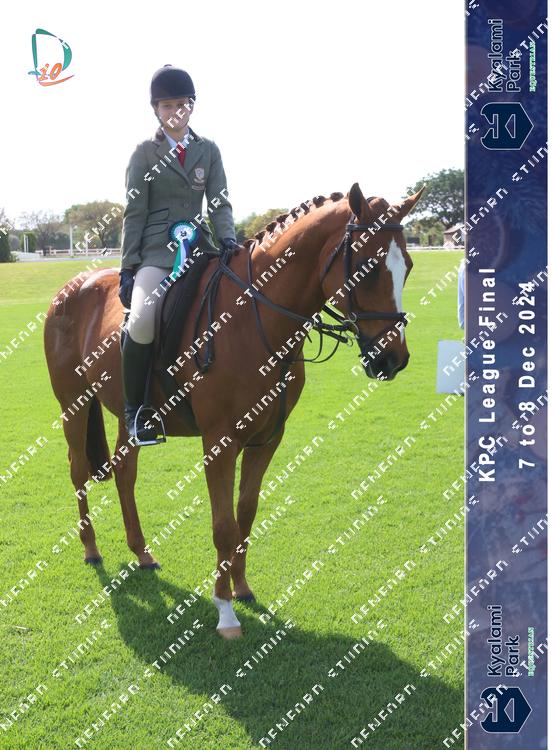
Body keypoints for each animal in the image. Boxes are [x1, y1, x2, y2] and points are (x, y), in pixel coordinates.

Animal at [43, 182, 424, 638]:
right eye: (367, 269)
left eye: (408, 267)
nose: (393, 359)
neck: (256, 319)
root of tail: (74, 284)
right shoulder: (219, 441)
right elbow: (223, 526)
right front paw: (225, 611)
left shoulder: (266, 439)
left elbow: (246, 514)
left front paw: (241, 587)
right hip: (74, 404)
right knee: (78, 470)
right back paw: (91, 548)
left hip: (127, 415)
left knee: (125, 472)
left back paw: (142, 552)